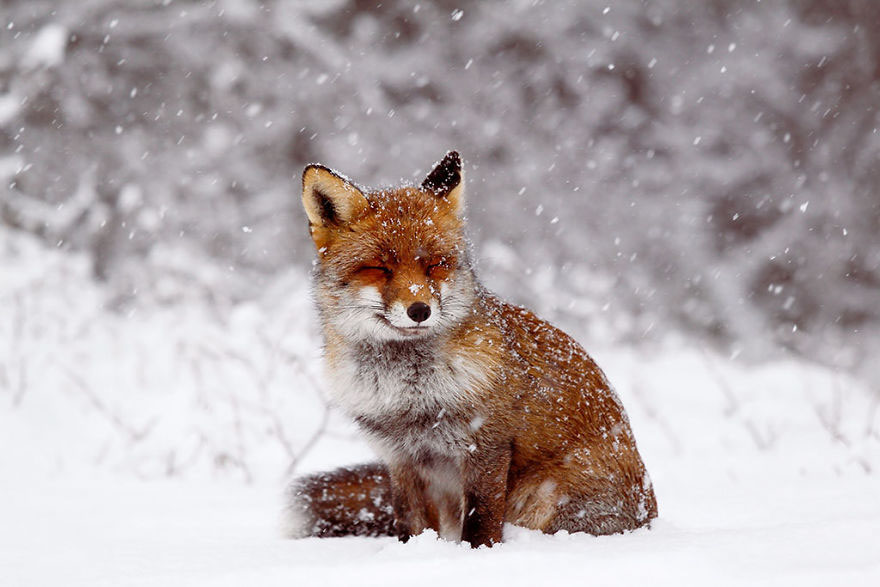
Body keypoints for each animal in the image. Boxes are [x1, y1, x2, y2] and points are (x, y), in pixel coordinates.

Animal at [285, 151, 657, 547]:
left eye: (435, 264)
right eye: (380, 268)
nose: (420, 310)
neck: (410, 395)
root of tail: (650, 519)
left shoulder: (486, 447)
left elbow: (481, 523)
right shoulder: (400, 459)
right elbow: (410, 525)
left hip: (544, 497)